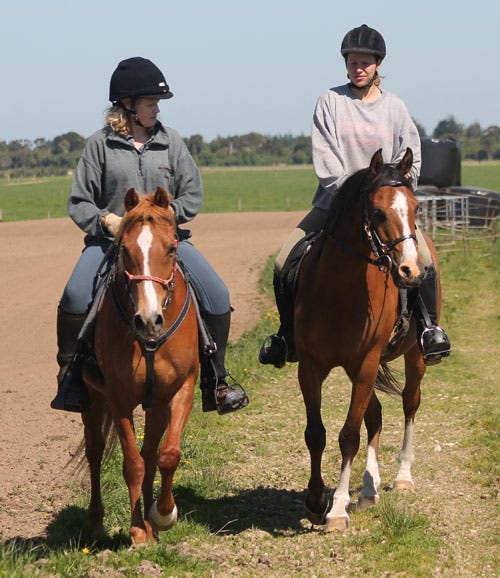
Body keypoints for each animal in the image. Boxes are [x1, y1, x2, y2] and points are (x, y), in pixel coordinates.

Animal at [82, 187, 199, 544]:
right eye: (125, 249)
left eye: (172, 248)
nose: (149, 320)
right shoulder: (118, 398)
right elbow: (132, 463)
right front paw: (136, 531)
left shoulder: (181, 389)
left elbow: (167, 454)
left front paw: (162, 515)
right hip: (92, 399)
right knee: (95, 451)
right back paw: (97, 521)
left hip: (155, 404)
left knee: (150, 454)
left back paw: (152, 523)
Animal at [294, 150, 440, 532]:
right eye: (377, 212)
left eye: (416, 207)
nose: (410, 272)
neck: (339, 289)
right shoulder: (311, 366)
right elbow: (316, 433)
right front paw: (316, 501)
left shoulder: (365, 362)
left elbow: (349, 435)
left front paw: (337, 509)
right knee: (374, 415)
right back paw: (368, 490)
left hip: (413, 357)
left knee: (409, 404)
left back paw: (402, 477)